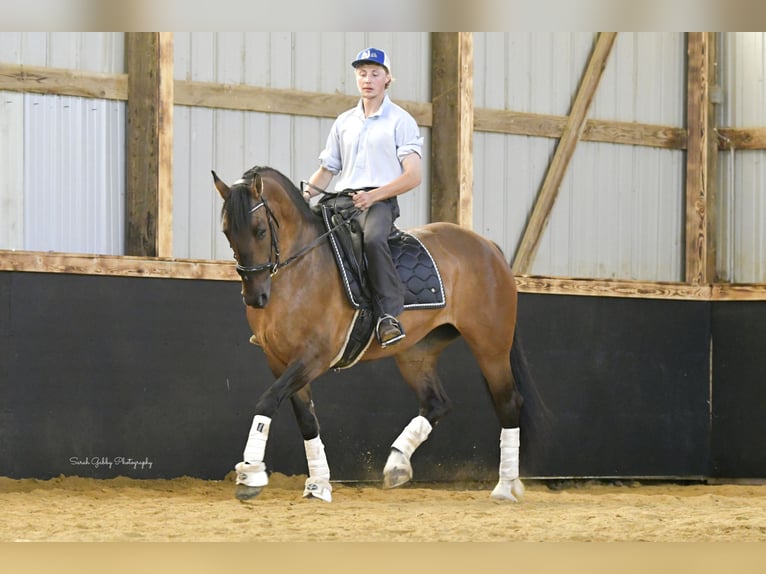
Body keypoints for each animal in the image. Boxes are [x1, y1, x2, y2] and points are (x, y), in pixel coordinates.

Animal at [212, 165, 540, 503]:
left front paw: (250, 475)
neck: (301, 269)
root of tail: (487, 247)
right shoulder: (279, 360)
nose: (256, 297)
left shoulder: (314, 357)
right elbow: (306, 419)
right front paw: (318, 484)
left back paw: (505, 487)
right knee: (436, 403)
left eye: (260, 231)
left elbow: (266, 401)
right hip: (416, 353)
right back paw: (397, 465)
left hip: (491, 346)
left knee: (508, 402)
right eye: (227, 232)